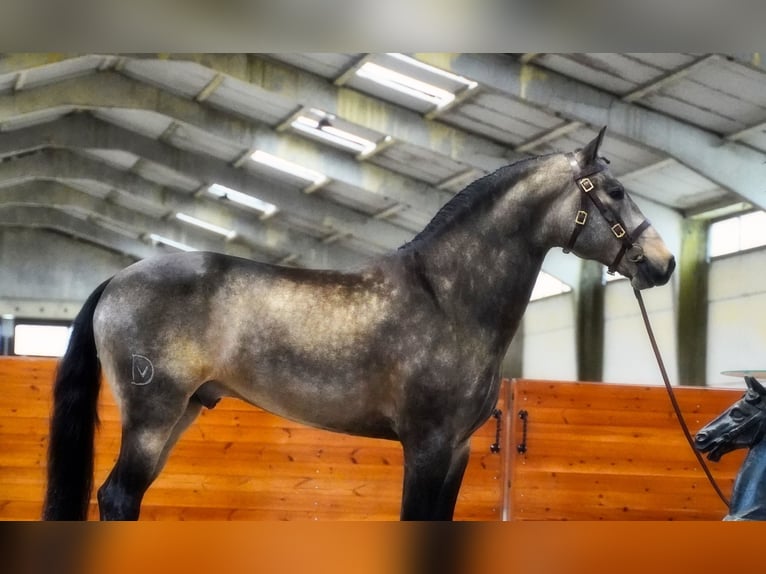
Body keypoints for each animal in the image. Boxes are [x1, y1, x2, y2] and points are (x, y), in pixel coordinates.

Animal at [42, 127, 675, 521]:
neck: (448, 297)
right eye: (615, 191)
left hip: (183, 413)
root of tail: (118, 279)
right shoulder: (426, 446)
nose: (663, 264)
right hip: (152, 418)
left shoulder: (458, 451)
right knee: (118, 497)